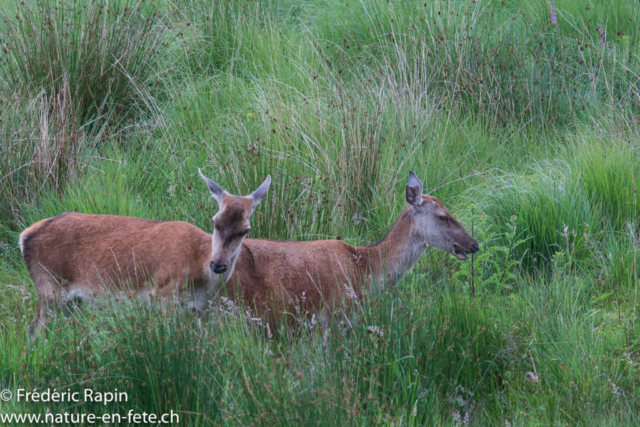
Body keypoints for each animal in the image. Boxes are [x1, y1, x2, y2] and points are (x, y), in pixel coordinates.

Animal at [20, 169, 270, 340]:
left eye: (245, 230)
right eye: (215, 221)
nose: (218, 265)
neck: (200, 273)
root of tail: (24, 237)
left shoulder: (199, 309)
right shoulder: (163, 295)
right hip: (50, 288)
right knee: (35, 330)